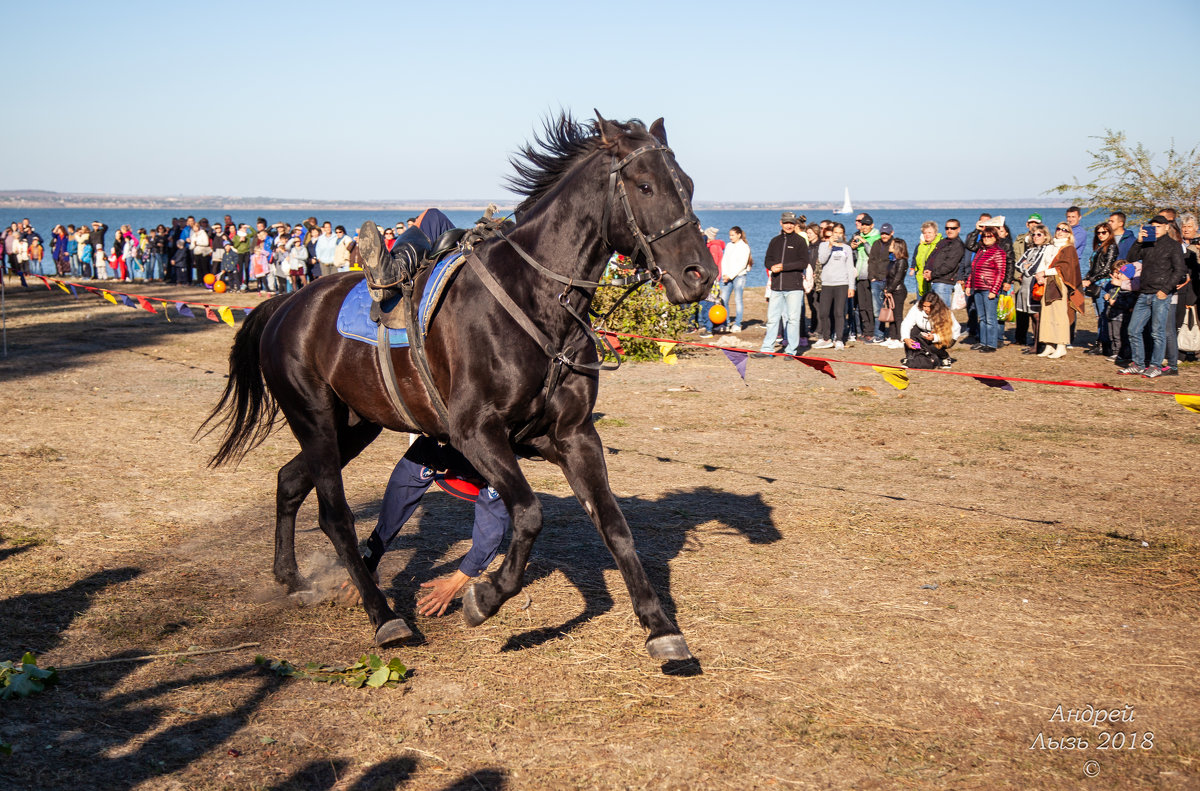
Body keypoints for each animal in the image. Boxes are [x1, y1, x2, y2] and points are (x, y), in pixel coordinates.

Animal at [201, 114, 715, 657]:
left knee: (289, 481)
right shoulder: (476, 434)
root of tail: (287, 304)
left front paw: (660, 625)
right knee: (334, 515)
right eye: (645, 186)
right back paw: (385, 616)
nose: (699, 275)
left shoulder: (573, 436)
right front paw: (485, 596)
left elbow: (615, 525)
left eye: (688, 186)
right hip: (314, 419)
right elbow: (528, 514)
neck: (537, 304)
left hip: (354, 425)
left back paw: (292, 577)